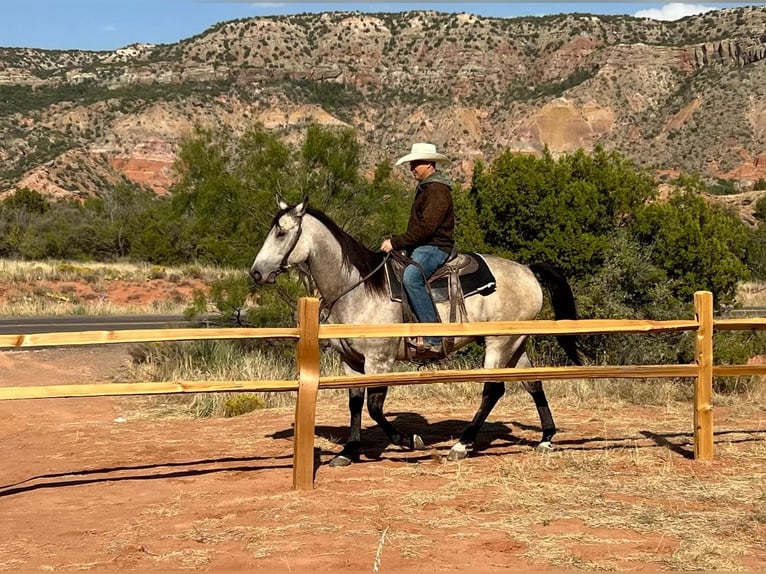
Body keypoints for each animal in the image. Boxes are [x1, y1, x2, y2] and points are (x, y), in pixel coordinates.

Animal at [250, 199, 582, 466]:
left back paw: (462, 445)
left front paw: (409, 440)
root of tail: (527, 270)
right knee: (532, 383)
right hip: (516, 343)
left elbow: (374, 407)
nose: (256, 272)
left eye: (281, 233)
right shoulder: (351, 361)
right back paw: (546, 438)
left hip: (499, 343)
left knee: (493, 390)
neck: (357, 288)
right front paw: (349, 451)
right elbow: (355, 404)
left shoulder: (379, 361)